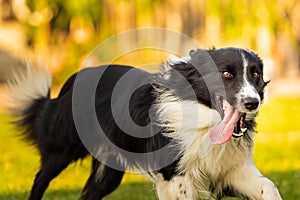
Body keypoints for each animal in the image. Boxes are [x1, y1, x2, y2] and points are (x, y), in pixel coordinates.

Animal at [6, 47, 282, 199]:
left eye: (256, 74)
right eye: (226, 73)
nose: (252, 103)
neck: (204, 118)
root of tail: (75, 78)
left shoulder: (232, 170)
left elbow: (269, 188)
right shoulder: (175, 177)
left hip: (109, 169)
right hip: (63, 149)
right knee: (40, 179)